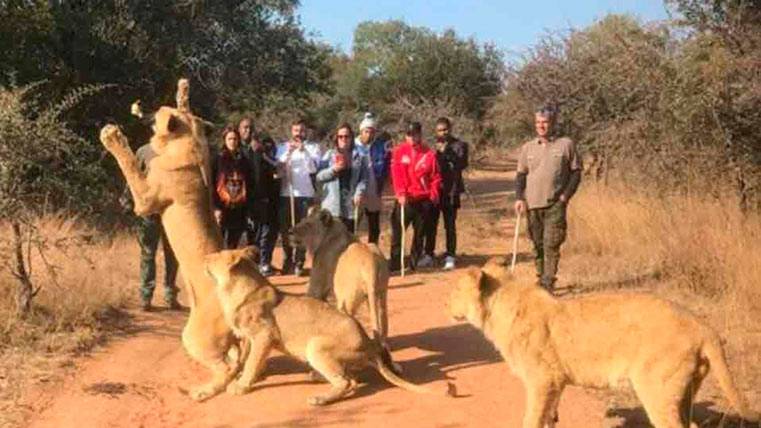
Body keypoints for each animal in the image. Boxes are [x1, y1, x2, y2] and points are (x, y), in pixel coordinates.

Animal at [99, 79, 275, 402]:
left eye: (157, 111)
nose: (141, 104)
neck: (188, 143)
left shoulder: (145, 200)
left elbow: (128, 163)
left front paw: (112, 135)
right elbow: (188, 109)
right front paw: (184, 90)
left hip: (194, 337)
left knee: (226, 367)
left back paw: (203, 392)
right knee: (236, 354)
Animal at [204, 247, 455, 405]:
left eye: (215, 255)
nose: (205, 256)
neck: (234, 290)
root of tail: (369, 344)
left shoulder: (264, 336)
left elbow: (251, 363)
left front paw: (241, 385)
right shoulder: (248, 338)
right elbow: (243, 360)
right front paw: (233, 377)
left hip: (316, 345)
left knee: (346, 382)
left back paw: (319, 399)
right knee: (350, 379)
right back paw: (317, 377)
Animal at [291, 208, 390, 346]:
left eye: (307, 225)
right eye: (301, 220)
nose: (290, 231)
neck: (328, 235)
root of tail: (370, 264)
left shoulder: (318, 282)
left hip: (347, 299)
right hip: (380, 293)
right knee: (383, 318)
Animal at [448, 257, 759, 428]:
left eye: (455, 290)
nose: (444, 303)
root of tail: (702, 325)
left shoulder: (543, 380)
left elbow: (532, 419)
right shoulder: (556, 383)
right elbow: (549, 417)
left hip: (657, 390)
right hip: (684, 392)